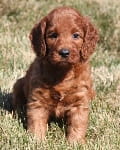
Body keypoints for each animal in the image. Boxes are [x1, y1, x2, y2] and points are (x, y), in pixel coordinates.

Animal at [12, 6, 98, 144]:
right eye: (53, 35)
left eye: (76, 35)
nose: (64, 52)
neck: (62, 73)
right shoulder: (38, 100)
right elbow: (36, 123)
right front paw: (36, 141)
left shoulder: (80, 101)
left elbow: (77, 124)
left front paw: (75, 143)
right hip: (18, 84)